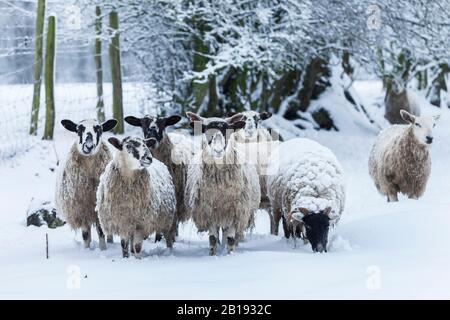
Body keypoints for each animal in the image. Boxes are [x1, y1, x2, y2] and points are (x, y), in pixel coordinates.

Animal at [55, 117, 118, 250]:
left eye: (99, 129)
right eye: (78, 129)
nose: (88, 146)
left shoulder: (98, 209)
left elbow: (101, 231)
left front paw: (103, 249)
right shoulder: (80, 209)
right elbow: (85, 234)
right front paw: (86, 249)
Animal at [183, 112, 260, 255]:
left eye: (227, 131)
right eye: (206, 131)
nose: (218, 151)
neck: (220, 192)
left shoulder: (235, 212)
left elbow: (230, 239)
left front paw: (230, 254)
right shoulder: (209, 212)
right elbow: (213, 238)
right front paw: (212, 254)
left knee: (226, 234)